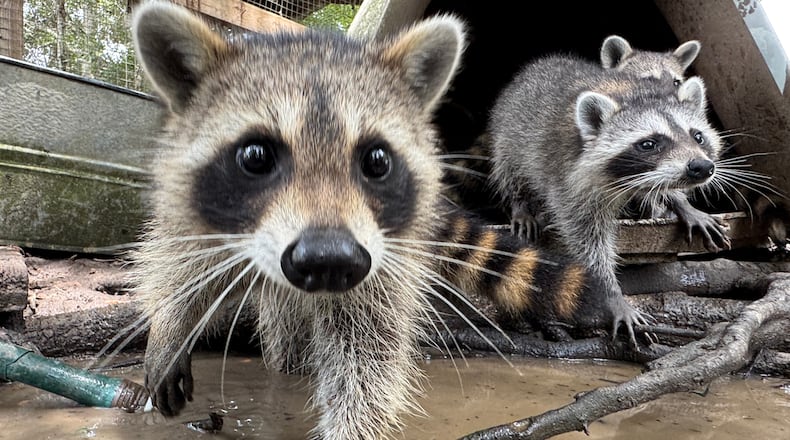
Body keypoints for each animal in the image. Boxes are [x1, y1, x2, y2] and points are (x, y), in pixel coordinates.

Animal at [130, 3, 619, 439]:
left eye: (377, 161)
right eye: (255, 157)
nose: (328, 260)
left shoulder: (381, 257)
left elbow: (368, 352)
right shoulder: (193, 208)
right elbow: (177, 262)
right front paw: (169, 328)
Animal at [488, 54, 728, 341]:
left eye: (698, 136)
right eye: (649, 144)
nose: (701, 167)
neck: (635, 95)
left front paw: (682, 203)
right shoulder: (569, 179)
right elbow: (588, 240)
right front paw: (610, 293)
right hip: (510, 133)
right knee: (510, 168)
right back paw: (520, 204)